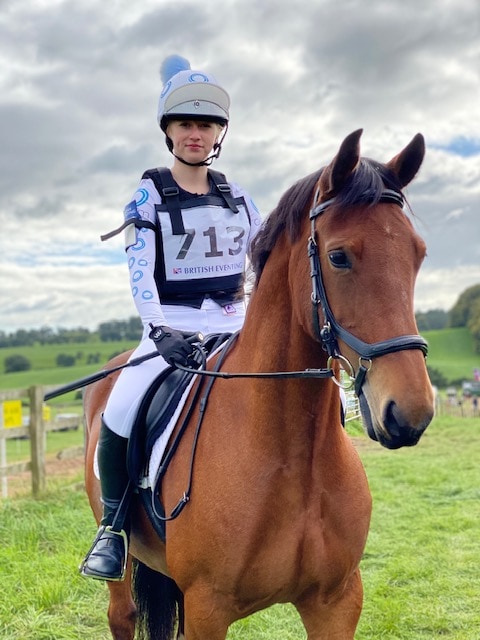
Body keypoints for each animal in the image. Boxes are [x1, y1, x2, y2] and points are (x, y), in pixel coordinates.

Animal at [82, 130, 436, 640]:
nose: (410, 413)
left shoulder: (337, 601)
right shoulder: (209, 607)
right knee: (122, 612)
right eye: (338, 257)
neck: (293, 456)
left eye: (418, 253)